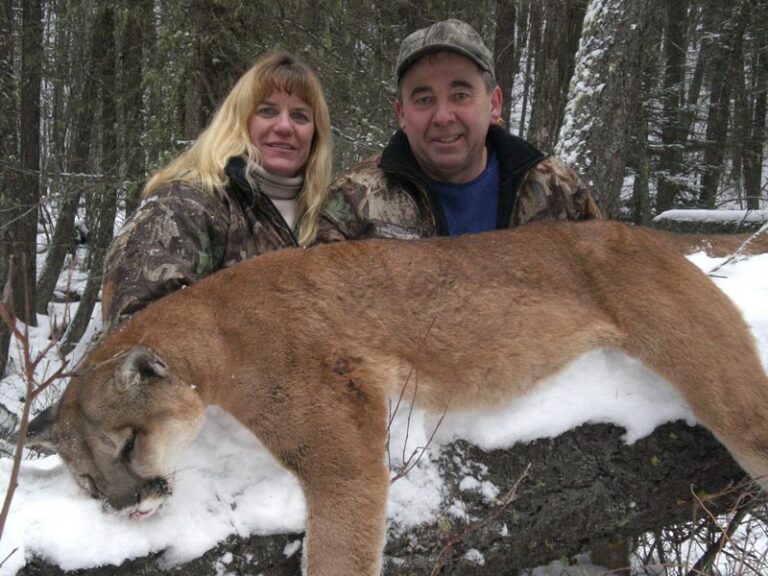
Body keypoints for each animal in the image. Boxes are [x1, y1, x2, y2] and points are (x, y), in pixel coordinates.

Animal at [27, 220, 768, 576]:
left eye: (129, 444)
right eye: (88, 482)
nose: (126, 506)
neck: (211, 332)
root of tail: (632, 227)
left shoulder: (337, 443)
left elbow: (337, 553)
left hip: (711, 371)